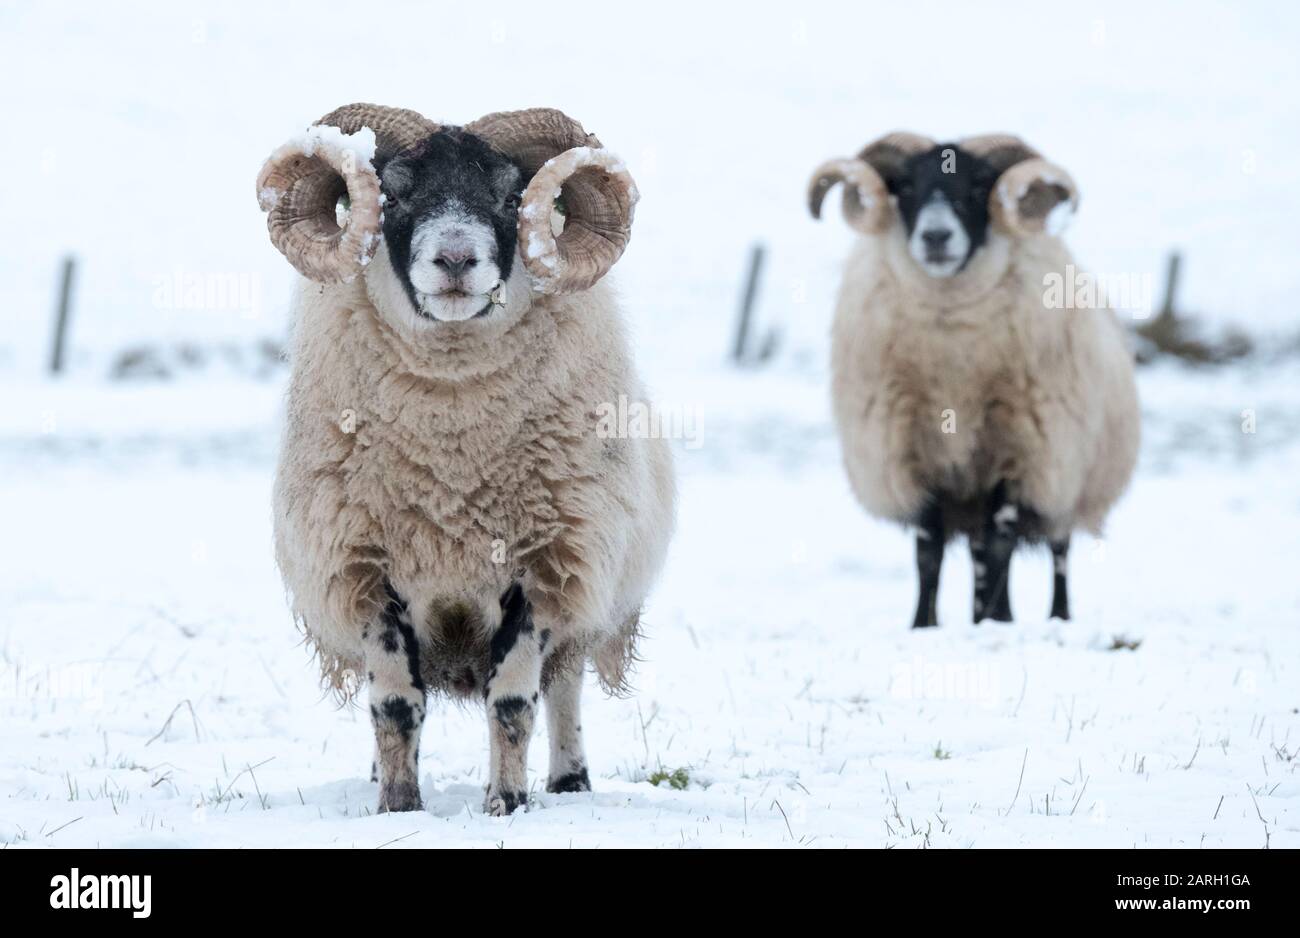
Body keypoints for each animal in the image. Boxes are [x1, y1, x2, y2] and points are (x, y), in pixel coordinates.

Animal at [258, 103, 676, 810]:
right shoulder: (368, 568)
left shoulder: (544, 563)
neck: (451, 471)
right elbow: (395, 704)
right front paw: (398, 805)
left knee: (563, 689)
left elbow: (512, 700)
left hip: (588, 589)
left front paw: (505, 804)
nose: (456, 258)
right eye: (394, 193)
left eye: (509, 196)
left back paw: (568, 781)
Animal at [811, 131, 1138, 628]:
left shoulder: (1020, 455)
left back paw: (1053, 616)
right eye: (905, 186)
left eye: (980, 185)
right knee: (979, 551)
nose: (936, 237)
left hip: (1067, 477)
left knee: (1057, 554)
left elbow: (1001, 548)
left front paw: (990, 622)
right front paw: (925, 624)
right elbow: (929, 554)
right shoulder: (914, 455)